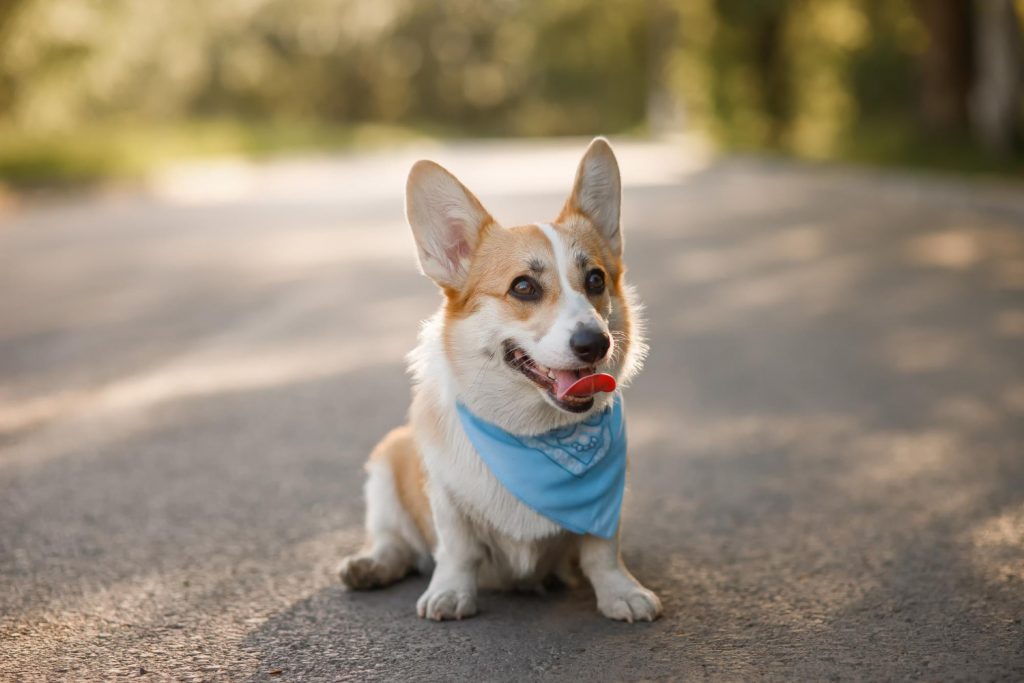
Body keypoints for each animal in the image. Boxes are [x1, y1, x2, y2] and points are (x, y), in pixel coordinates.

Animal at [339, 136, 659, 622]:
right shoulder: (447, 498)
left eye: (595, 279)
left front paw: (620, 591)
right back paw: (370, 566)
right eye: (523, 287)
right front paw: (451, 593)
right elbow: (457, 549)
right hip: (386, 466)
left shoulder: (609, 502)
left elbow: (601, 550)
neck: (533, 434)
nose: (595, 343)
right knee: (396, 543)